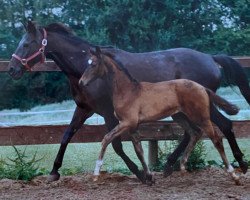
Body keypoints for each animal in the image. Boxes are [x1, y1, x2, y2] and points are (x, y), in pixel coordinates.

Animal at [79, 47, 240, 184]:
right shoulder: (132, 126)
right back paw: (182, 166)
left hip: (201, 116)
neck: (128, 91)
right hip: (180, 116)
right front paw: (149, 177)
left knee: (216, 139)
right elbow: (139, 150)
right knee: (195, 133)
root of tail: (201, 87)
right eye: (87, 63)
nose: (81, 82)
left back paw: (234, 174)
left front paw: (95, 175)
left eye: (93, 64)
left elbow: (106, 139)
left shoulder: (127, 122)